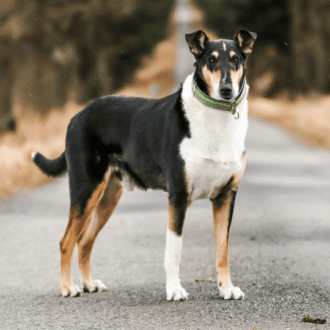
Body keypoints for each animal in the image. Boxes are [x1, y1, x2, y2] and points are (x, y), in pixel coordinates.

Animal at [31, 29, 256, 300]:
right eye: (211, 61)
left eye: (235, 60)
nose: (226, 89)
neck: (217, 118)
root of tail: (77, 116)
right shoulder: (179, 196)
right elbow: (174, 251)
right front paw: (174, 290)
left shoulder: (225, 196)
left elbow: (223, 249)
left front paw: (228, 288)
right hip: (86, 190)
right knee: (66, 241)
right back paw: (68, 287)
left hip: (107, 197)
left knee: (84, 240)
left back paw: (88, 283)